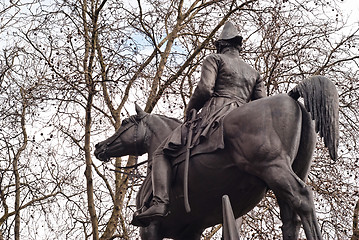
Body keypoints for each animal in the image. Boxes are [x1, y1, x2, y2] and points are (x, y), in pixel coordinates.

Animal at [93, 75, 340, 240]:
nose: (98, 146)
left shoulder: (150, 227)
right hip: (293, 171)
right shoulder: (191, 230)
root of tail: (291, 97)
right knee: (291, 217)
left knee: (303, 198)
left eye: (125, 123)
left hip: (273, 167)